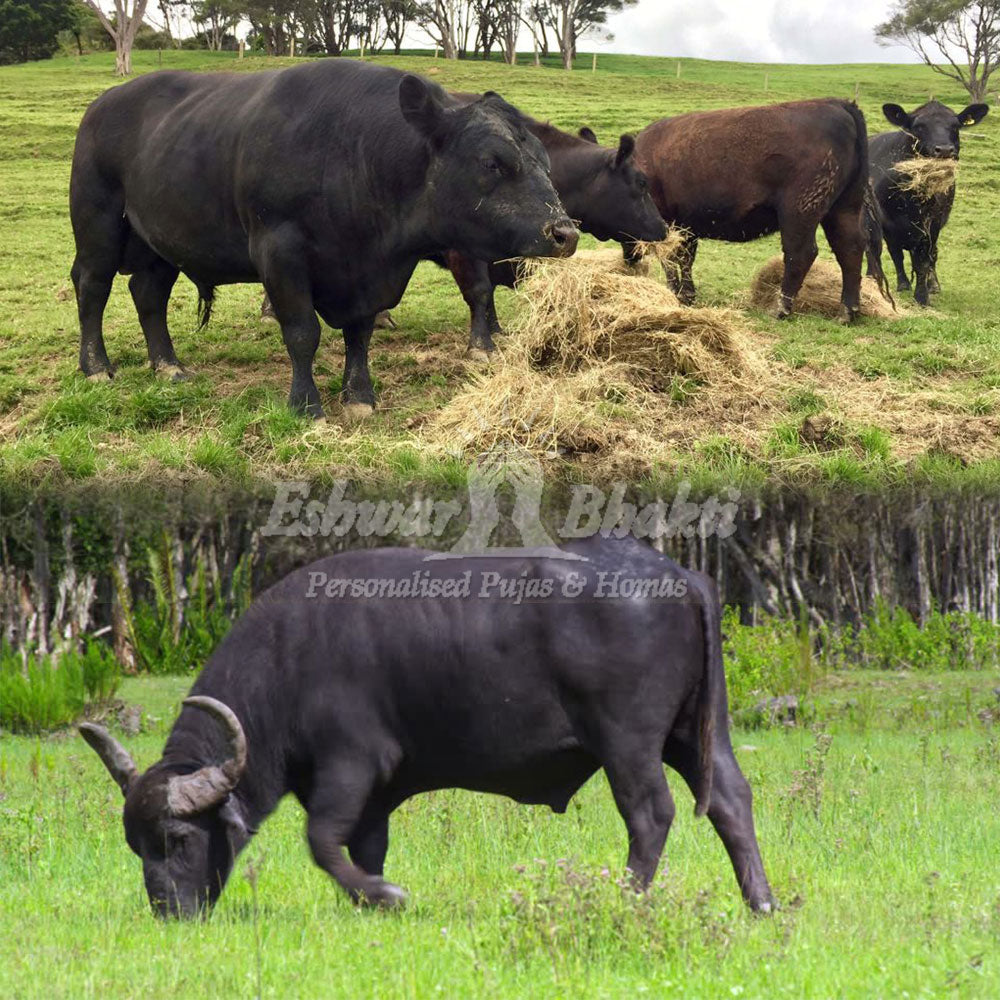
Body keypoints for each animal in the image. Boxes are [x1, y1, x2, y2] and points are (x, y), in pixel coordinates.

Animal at [68, 58, 580, 418]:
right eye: (492, 162)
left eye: (545, 162)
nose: (565, 232)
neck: (353, 152)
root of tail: (105, 101)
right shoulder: (278, 251)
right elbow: (302, 333)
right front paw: (306, 405)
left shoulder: (365, 275)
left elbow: (360, 333)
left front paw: (359, 397)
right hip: (98, 225)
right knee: (92, 286)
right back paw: (95, 368)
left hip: (160, 241)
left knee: (147, 294)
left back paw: (168, 366)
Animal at [82, 540, 776, 920]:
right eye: (135, 846)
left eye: (176, 838)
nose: (168, 912)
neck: (288, 660)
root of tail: (679, 575)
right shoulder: (369, 799)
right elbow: (361, 847)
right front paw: (367, 900)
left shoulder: (351, 766)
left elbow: (321, 841)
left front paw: (387, 896)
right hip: (695, 735)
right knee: (732, 801)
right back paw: (762, 903)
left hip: (627, 743)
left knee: (650, 815)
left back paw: (626, 899)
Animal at [628, 99, 880, 322]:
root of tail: (838, 103)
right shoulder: (686, 225)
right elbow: (685, 257)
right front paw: (687, 294)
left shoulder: (666, 220)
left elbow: (670, 257)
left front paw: (675, 293)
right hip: (844, 207)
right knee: (849, 248)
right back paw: (847, 312)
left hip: (799, 212)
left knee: (800, 253)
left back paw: (780, 309)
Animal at [864, 102, 988, 306]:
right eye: (918, 127)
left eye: (956, 126)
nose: (944, 150)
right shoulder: (883, 221)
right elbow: (888, 253)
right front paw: (895, 283)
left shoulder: (931, 223)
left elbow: (923, 259)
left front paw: (922, 295)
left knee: (931, 255)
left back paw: (932, 285)